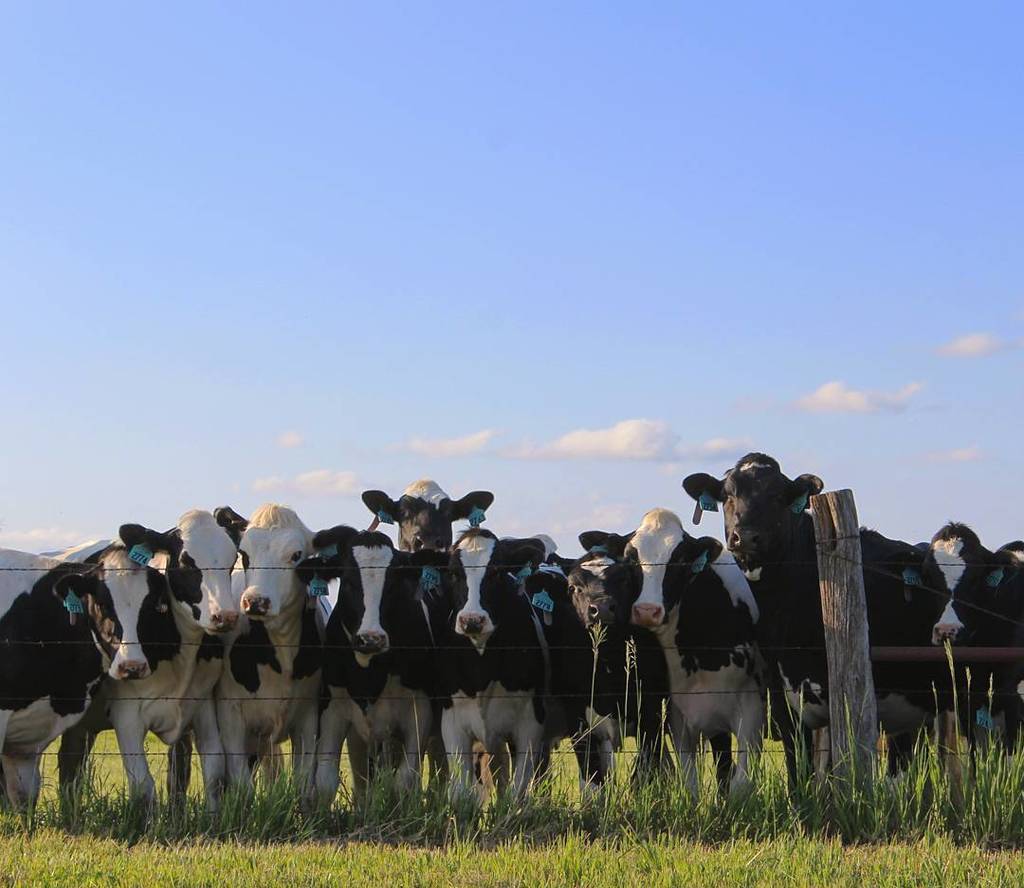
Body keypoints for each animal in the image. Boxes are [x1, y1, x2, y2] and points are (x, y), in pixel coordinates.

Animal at [57, 509, 242, 808]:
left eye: (231, 560)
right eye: (186, 562)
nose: (225, 616)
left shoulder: (202, 705)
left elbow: (214, 774)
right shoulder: (127, 715)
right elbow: (143, 787)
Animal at [216, 503, 321, 796]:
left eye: (296, 555)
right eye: (244, 554)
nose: (255, 601)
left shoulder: (309, 719)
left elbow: (303, 783)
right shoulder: (230, 719)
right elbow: (242, 786)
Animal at [296, 526, 440, 805]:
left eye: (394, 583)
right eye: (349, 581)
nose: (371, 638)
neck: (370, 674)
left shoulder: (420, 714)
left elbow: (404, 781)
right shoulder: (332, 710)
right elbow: (326, 781)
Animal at [682, 453, 947, 780]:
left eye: (777, 496)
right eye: (728, 495)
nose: (745, 537)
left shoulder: (838, 697)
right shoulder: (782, 698)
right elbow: (798, 769)